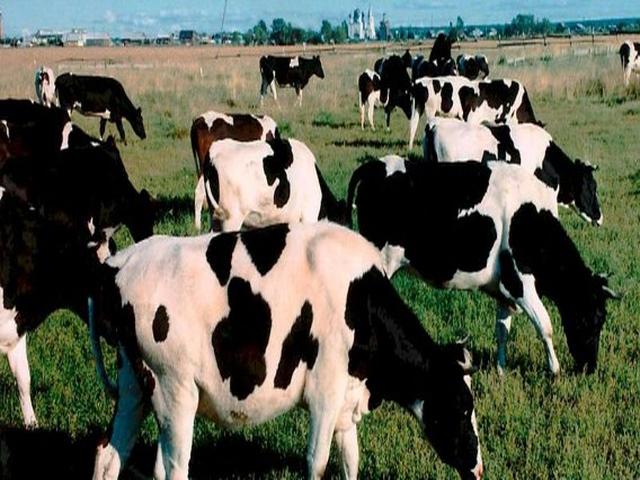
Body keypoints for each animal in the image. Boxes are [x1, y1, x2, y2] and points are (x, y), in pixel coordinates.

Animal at [90, 221, 483, 480]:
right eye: (462, 407)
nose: (478, 468)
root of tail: (118, 264)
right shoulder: (325, 389)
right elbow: (318, 462)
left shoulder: (346, 399)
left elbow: (351, 459)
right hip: (174, 389)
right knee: (172, 467)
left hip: (134, 385)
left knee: (108, 455)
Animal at [346, 156, 617, 375]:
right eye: (594, 318)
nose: (590, 367)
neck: (530, 221)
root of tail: (376, 165)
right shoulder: (520, 282)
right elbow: (545, 325)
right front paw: (555, 370)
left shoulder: (504, 289)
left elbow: (502, 330)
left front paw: (501, 370)